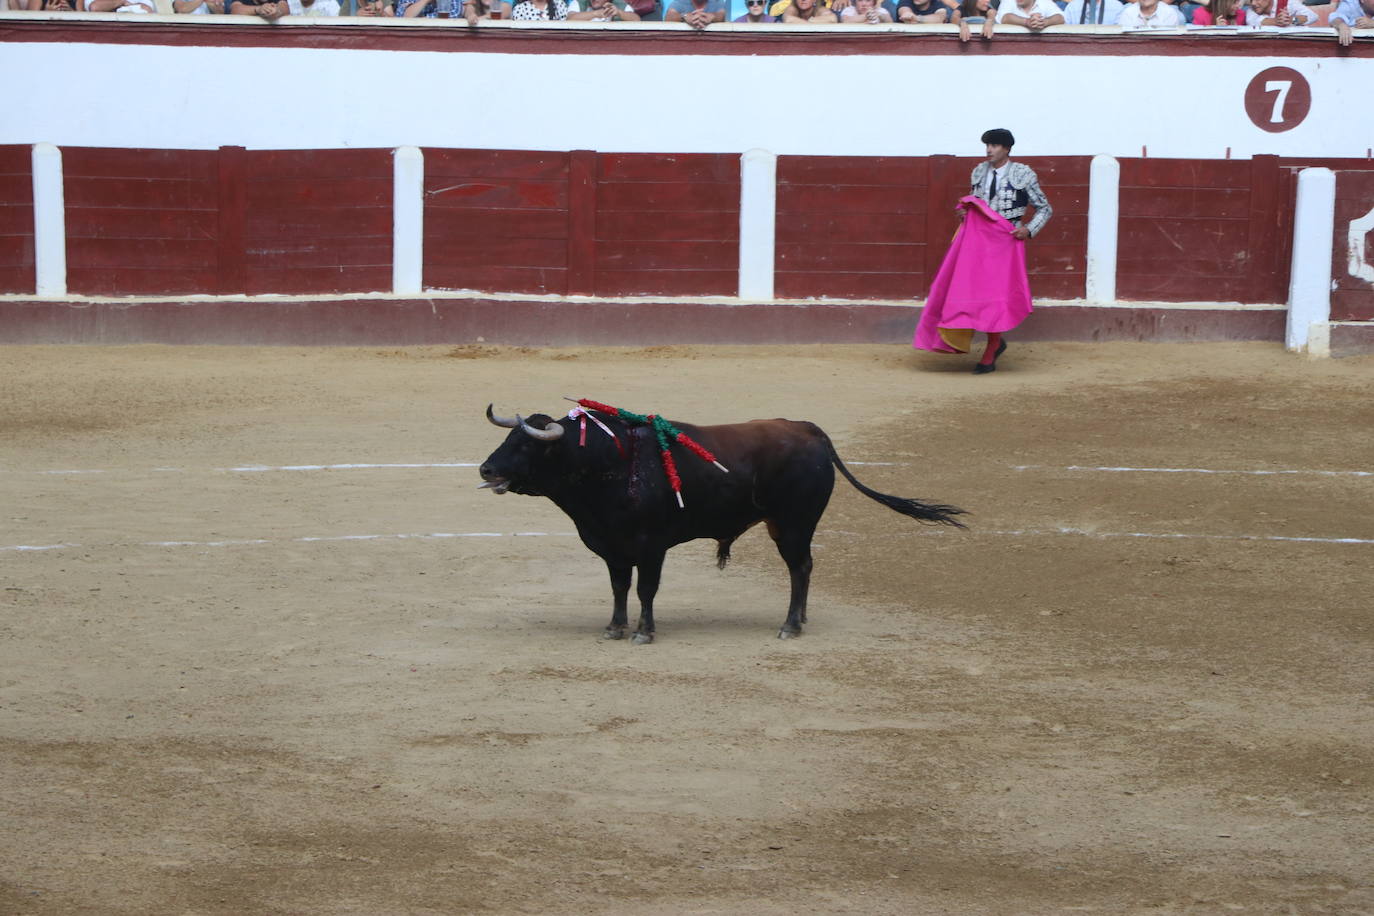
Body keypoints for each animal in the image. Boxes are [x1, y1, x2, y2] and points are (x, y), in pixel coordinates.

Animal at [483, 409, 967, 645]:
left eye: (526, 445)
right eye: (507, 438)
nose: (487, 469)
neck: (609, 463)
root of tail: (809, 431)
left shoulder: (651, 546)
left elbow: (645, 590)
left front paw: (643, 632)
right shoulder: (613, 546)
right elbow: (620, 588)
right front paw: (614, 627)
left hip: (794, 525)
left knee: (800, 568)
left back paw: (790, 626)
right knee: (806, 568)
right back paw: (800, 619)